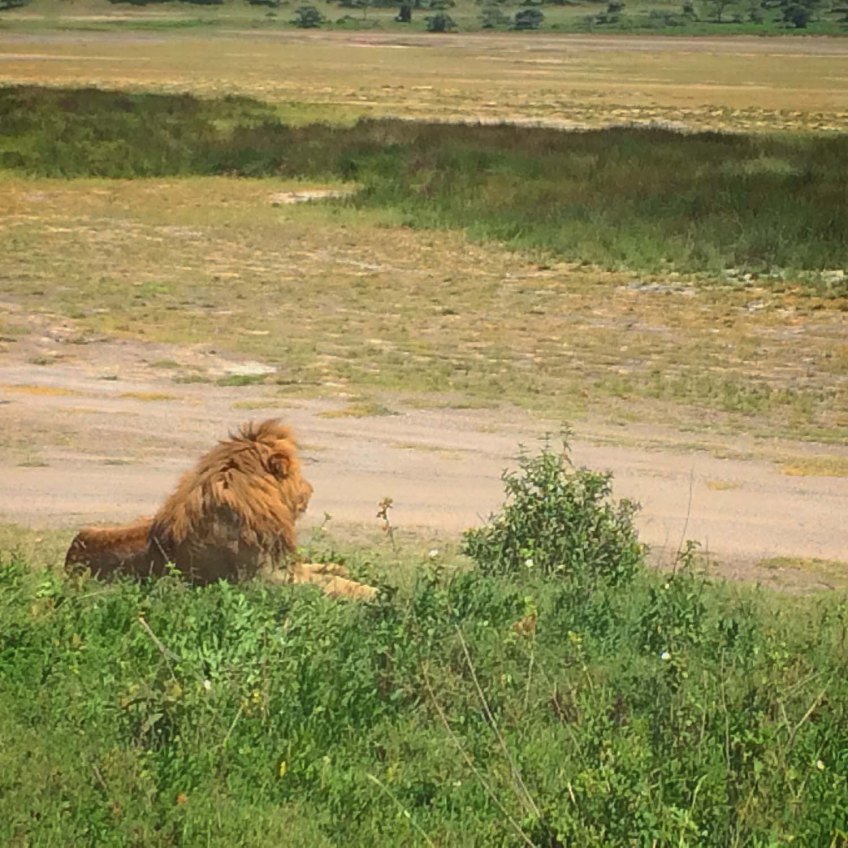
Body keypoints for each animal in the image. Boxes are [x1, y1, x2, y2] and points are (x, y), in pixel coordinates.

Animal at [65, 420, 376, 601]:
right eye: (298, 473)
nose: (311, 490)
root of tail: (69, 557)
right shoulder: (266, 580)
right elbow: (331, 583)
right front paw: (372, 592)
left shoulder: (283, 565)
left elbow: (320, 569)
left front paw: (339, 567)